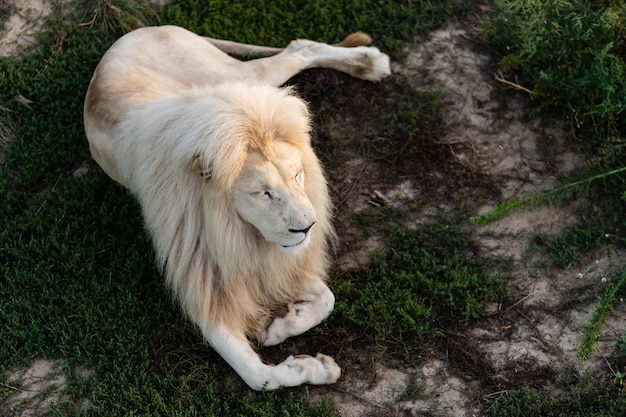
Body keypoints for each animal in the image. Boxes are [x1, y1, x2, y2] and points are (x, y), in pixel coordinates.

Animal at [83, 25, 386, 390]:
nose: (307, 229)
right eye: (262, 193)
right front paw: (309, 364)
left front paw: (282, 326)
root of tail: (139, 31)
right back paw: (368, 63)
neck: (238, 232)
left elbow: (327, 298)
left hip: (236, 77)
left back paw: (369, 63)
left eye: (297, 176)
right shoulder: (208, 279)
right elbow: (258, 376)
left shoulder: (271, 262)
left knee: (301, 47)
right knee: (298, 48)